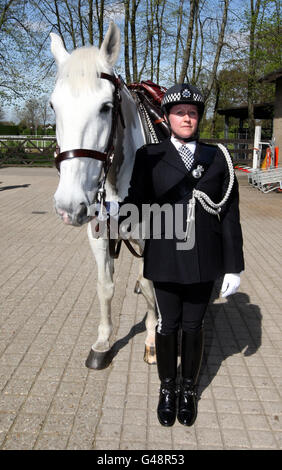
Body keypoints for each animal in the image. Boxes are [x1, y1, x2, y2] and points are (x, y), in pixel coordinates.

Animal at [49, 21, 158, 368]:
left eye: (106, 107)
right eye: (53, 106)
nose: (69, 204)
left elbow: (151, 284)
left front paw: (153, 338)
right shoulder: (98, 235)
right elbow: (105, 287)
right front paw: (102, 342)